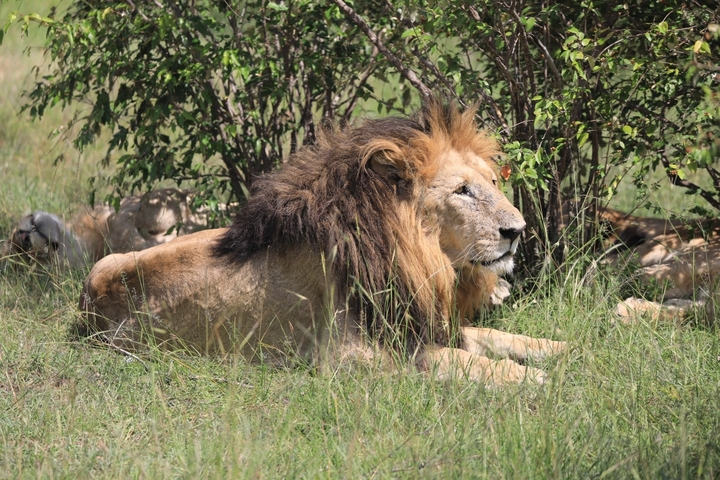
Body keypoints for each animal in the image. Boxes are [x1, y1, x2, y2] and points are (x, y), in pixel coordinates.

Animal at [79, 100, 566, 385]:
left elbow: (489, 335)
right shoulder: (348, 355)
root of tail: (89, 299)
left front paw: (562, 349)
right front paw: (525, 378)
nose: (518, 230)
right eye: (462, 191)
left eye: (492, 182)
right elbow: (450, 360)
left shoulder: (413, 320)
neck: (422, 257)